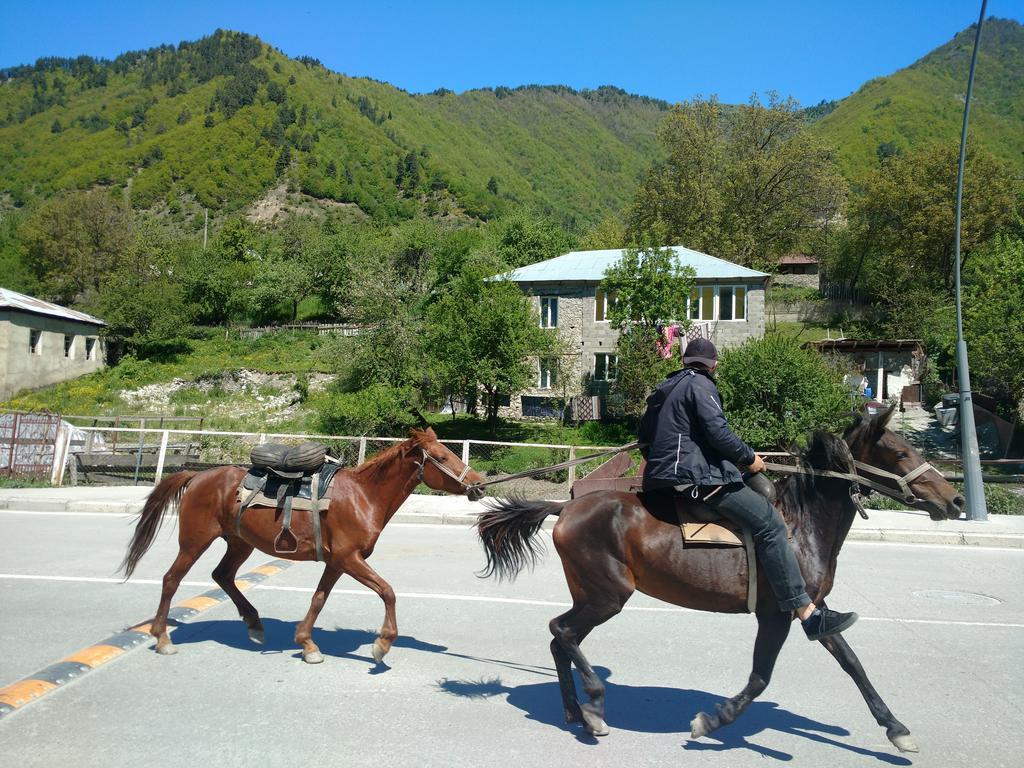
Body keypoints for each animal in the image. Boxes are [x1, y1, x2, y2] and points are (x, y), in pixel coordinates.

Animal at [120, 430, 483, 663]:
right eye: (441, 456)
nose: (479, 484)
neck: (363, 496)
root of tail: (196, 476)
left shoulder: (337, 562)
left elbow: (319, 599)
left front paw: (307, 644)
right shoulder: (350, 559)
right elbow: (388, 592)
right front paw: (382, 643)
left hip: (239, 543)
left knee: (222, 575)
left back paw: (254, 624)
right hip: (195, 541)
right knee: (171, 579)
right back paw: (162, 638)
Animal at [475, 411, 962, 753]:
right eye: (902, 454)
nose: (955, 499)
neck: (800, 525)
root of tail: (565, 507)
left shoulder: (815, 611)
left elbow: (853, 663)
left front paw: (896, 728)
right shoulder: (777, 614)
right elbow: (761, 677)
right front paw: (712, 720)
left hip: (592, 596)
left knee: (561, 639)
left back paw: (575, 710)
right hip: (606, 596)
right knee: (561, 631)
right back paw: (593, 704)